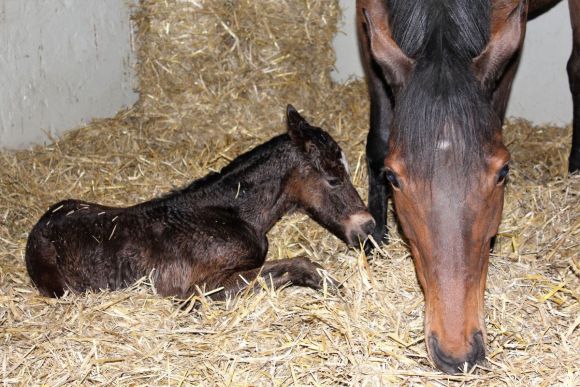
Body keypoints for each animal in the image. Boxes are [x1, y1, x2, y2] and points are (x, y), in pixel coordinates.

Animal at [26, 105, 376, 300]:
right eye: (333, 179)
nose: (368, 227)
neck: (231, 213)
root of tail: (35, 235)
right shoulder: (200, 286)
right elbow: (297, 264)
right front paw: (333, 287)